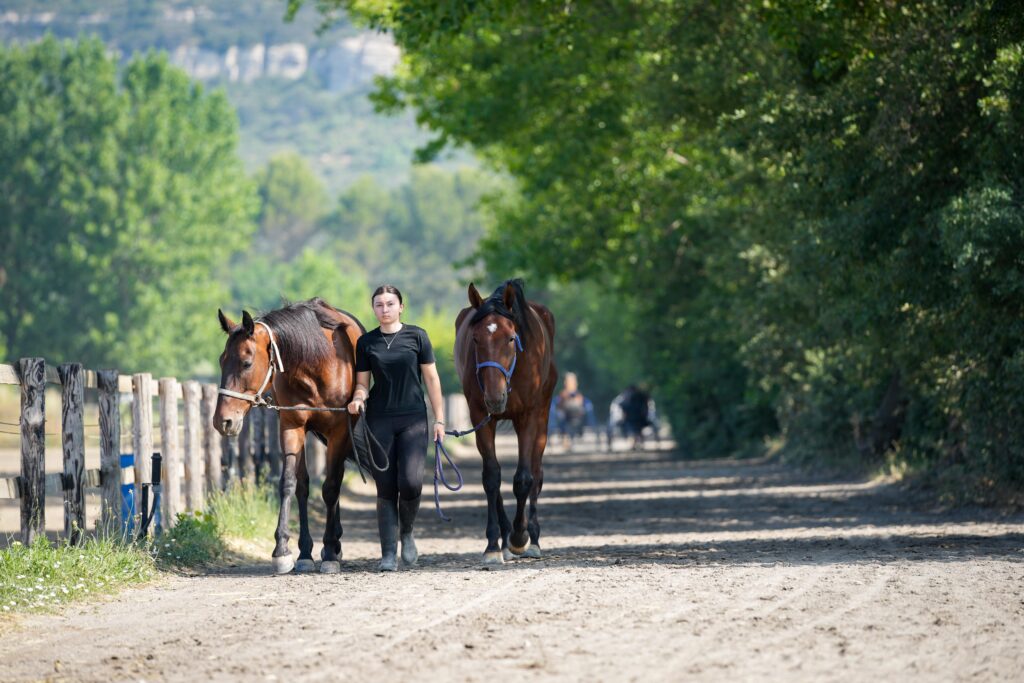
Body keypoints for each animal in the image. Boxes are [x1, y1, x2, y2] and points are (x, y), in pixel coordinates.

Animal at [213, 298, 365, 574]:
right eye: (221, 360)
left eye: (246, 363)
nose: (222, 420)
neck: (317, 362)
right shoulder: (291, 426)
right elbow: (291, 484)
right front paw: (284, 551)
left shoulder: (338, 431)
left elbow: (330, 487)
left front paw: (330, 551)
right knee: (307, 485)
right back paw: (310, 550)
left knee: (335, 481)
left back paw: (334, 545)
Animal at [454, 279, 557, 564]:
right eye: (475, 338)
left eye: (511, 338)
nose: (494, 397)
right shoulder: (480, 416)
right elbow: (491, 477)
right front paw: (493, 545)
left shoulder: (528, 416)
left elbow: (524, 478)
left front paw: (520, 537)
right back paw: (504, 537)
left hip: (542, 418)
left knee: (537, 472)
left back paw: (532, 538)